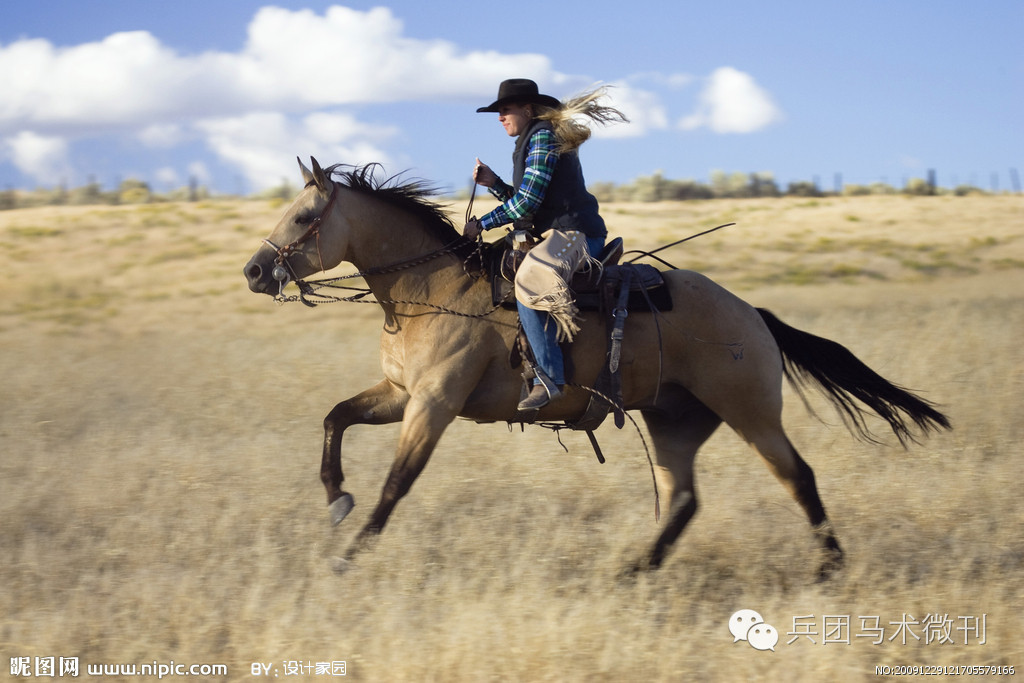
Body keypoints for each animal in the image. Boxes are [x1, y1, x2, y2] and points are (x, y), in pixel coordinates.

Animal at [243, 156, 946, 577]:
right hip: (672, 420)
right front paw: (337, 500)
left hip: (751, 413)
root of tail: (752, 313)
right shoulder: (397, 395)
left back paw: (830, 567)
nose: (253, 270)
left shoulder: (433, 405)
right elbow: (335, 419)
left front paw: (348, 557)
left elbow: (396, 483)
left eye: (304, 216)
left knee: (797, 477)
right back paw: (635, 572)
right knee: (682, 498)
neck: (430, 286)